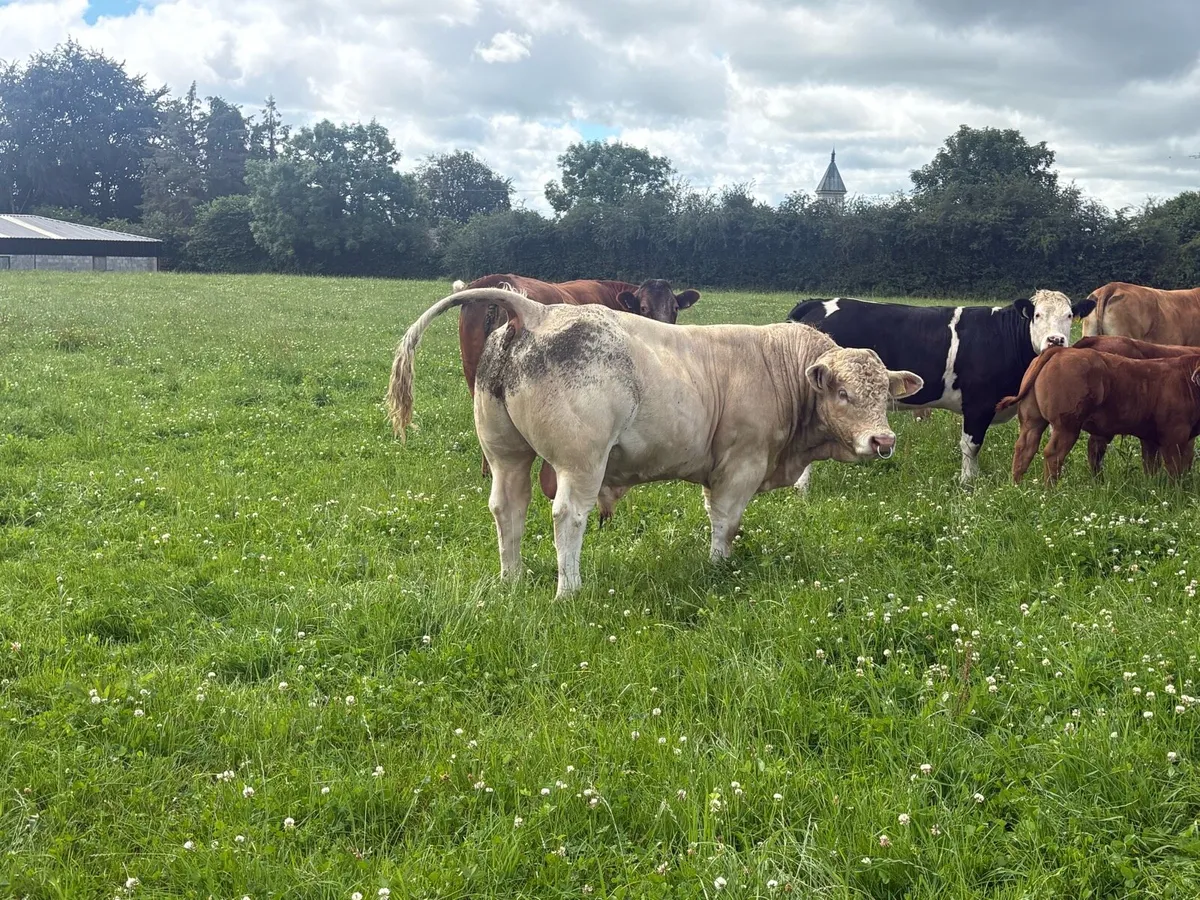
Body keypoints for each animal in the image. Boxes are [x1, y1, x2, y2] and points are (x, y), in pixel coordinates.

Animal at [387, 287, 923, 597]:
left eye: (884, 395)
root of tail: (538, 311)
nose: (883, 440)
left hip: (506, 455)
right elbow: (726, 523)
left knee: (507, 509)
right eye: (843, 392)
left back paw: (511, 579)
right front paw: (718, 568)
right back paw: (569, 591)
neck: (778, 367)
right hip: (580, 462)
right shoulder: (741, 465)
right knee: (567, 516)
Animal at [786, 290, 1095, 486]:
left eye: (1069, 316)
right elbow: (971, 446)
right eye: (1037, 315)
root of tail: (815, 303)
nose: (1055, 341)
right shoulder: (978, 404)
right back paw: (802, 488)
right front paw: (968, 483)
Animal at [997, 335, 1200, 477]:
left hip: (1032, 420)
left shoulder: (1152, 437)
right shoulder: (1175, 435)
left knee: (1024, 449)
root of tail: (1061, 351)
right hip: (1067, 425)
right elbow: (1177, 468)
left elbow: (1152, 466)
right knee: (1054, 454)